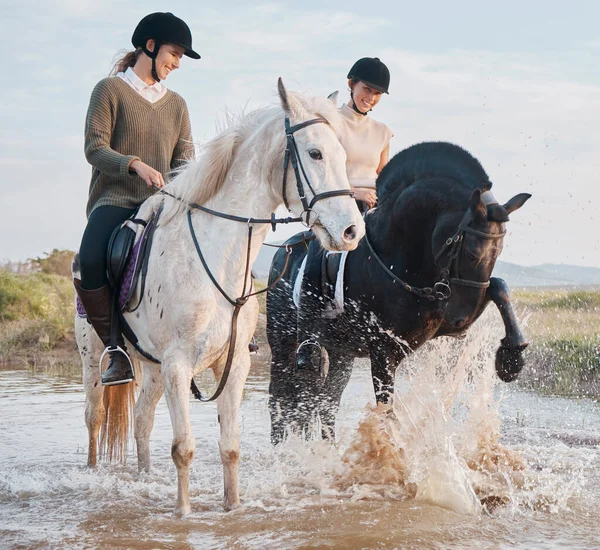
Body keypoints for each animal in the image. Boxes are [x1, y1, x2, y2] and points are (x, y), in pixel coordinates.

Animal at [75, 80, 366, 520]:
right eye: (315, 153)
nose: (352, 231)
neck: (215, 256)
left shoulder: (233, 364)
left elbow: (230, 447)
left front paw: (233, 508)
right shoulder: (179, 365)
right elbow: (183, 448)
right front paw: (183, 515)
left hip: (153, 369)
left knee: (142, 421)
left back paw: (145, 480)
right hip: (95, 359)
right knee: (94, 418)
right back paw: (94, 478)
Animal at [268, 141, 528, 444]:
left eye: (499, 251)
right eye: (472, 253)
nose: (462, 319)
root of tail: (283, 252)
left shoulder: (437, 323)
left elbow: (498, 286)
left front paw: (512, 358)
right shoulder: (383, 351)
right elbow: (386, 411)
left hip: (341, 352)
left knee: (326, 403)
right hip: (284, 344)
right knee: (281, 398)